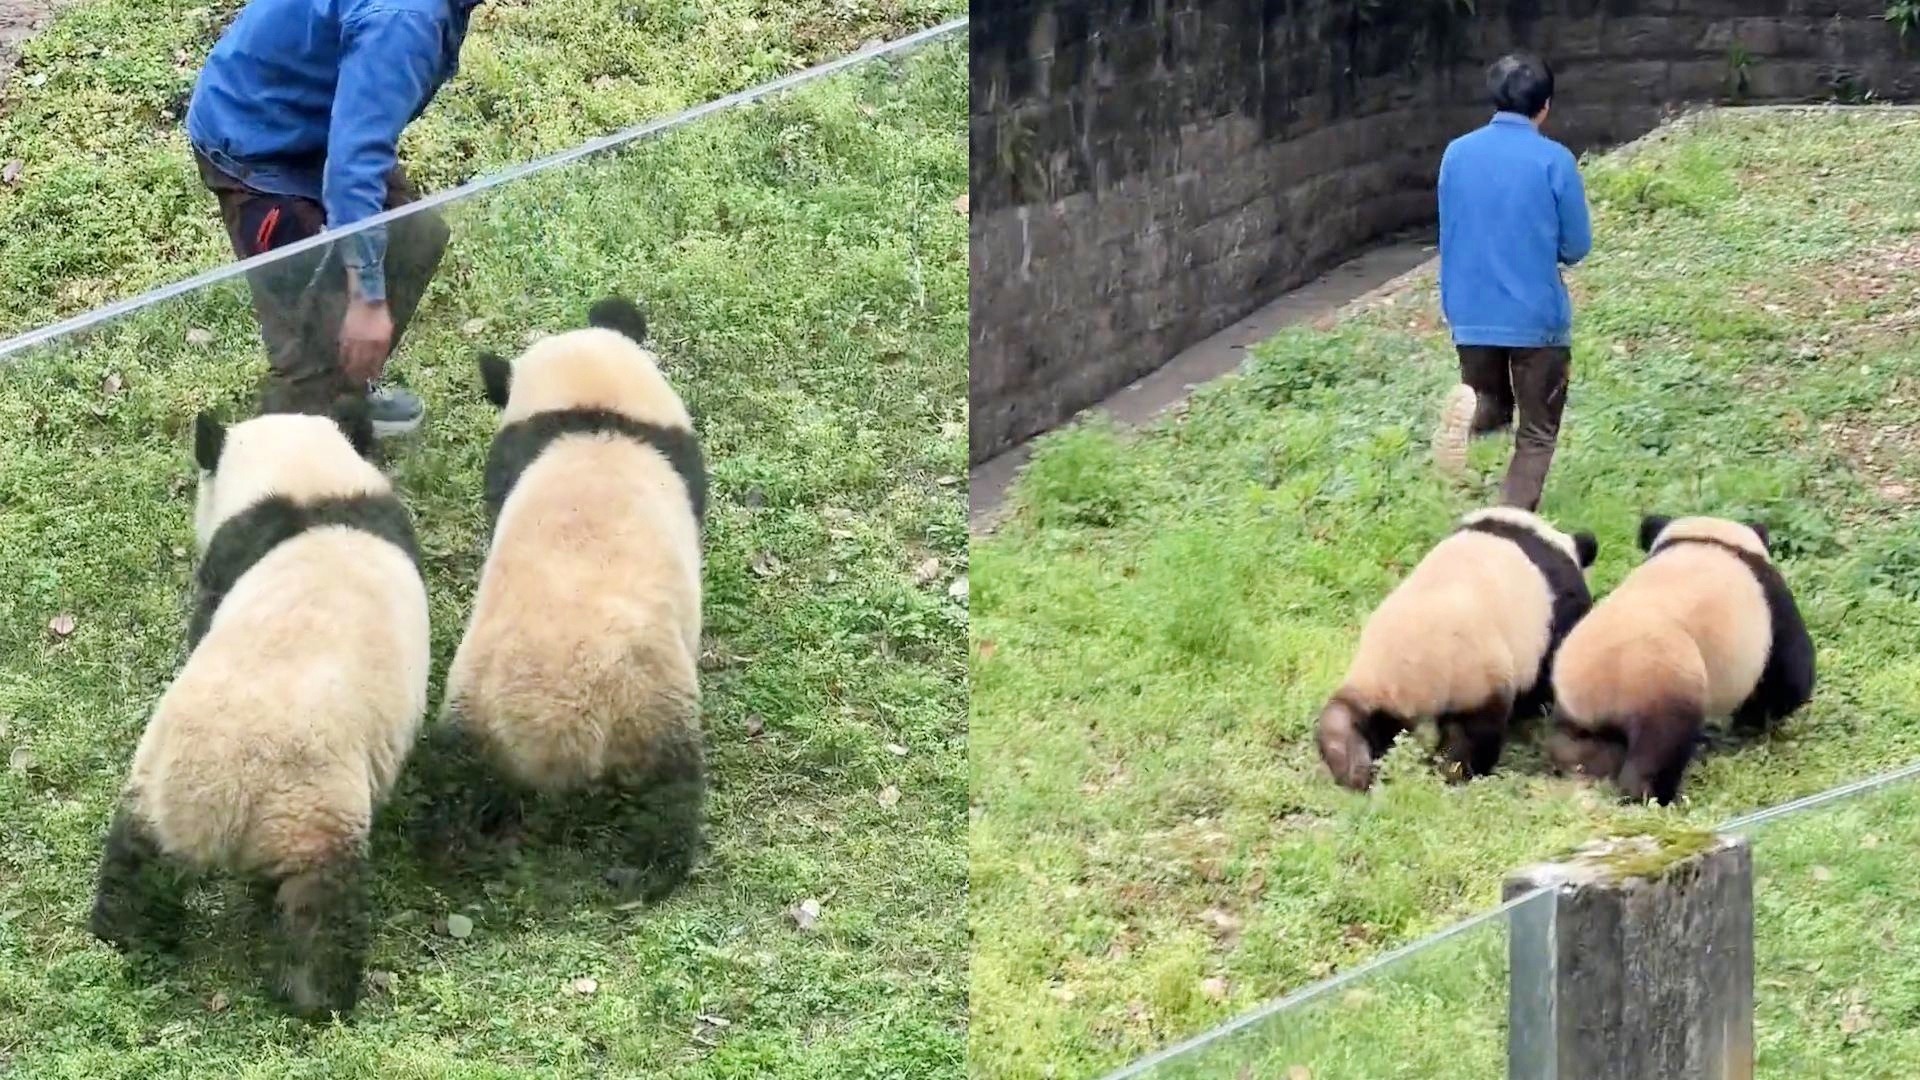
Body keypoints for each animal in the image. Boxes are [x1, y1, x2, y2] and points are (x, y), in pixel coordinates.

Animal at [435, 292, 706, 891]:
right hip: (652, 710)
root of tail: (559, 732)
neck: (594, 419)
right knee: (671, 795)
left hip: (471, 718)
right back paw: (650, 869)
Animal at [1313, 503, 1597, 791]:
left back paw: (1349, 764)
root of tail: (1408, 680)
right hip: (1476, 676)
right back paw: (1459, 771)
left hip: (1375, 679)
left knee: (1351, 716)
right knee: (1473, 734)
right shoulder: (1558, 612)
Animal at [1543, 511, 1812, 799]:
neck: (1707, 538)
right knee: (1661, 743)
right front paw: (1753, 721)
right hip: (1662, 680)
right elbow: (1790, 677)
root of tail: (1596, 690)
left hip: (1574, 713)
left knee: (1578, 745)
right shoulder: (1771, 600)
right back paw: (1653, 793)